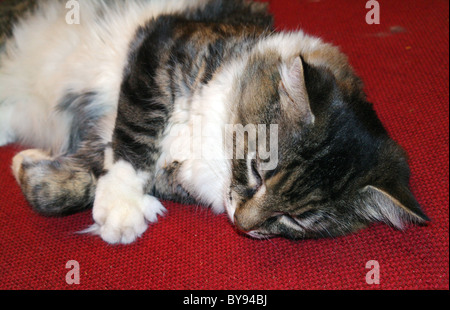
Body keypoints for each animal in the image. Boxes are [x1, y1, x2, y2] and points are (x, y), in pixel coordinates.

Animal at [0, 0, 428, 245]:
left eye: (296, 218)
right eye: (257, 169)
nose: (241, 224)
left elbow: (65, 188)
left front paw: (29, 166)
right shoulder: (161, 44)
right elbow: (136, 134)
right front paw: (121, 204)